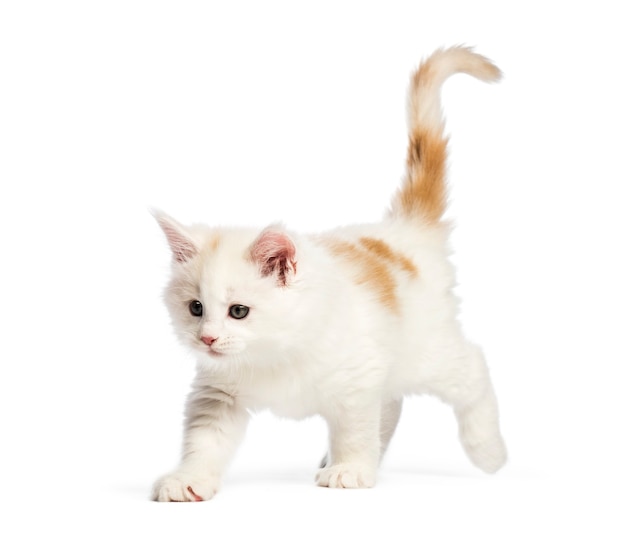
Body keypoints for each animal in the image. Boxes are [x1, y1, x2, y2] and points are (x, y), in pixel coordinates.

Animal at [151, 46, 508, 502]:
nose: (207, 339)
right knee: (392, 402)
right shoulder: (218, 395)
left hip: (429, 351)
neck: (274, 353)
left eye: (238, 311)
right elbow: (203, 440)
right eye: (195, 308)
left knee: (473, 368)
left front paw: (350, 469)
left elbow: (355, 428)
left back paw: (489, 452)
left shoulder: (357, 378)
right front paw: (187, 479)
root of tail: (403, 230)